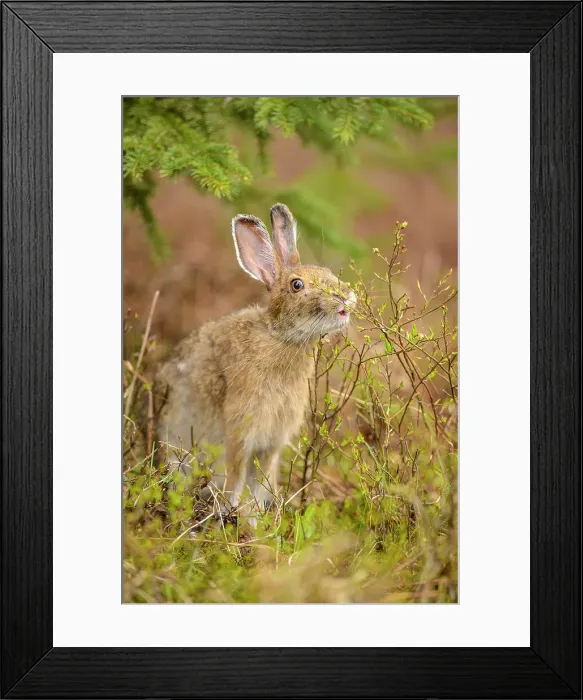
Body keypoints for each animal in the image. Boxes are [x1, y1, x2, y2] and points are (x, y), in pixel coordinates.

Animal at [155, 203, 355, 518]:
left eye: (327, 272)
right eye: (296, 285)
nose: (345, 297)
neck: (282, 337)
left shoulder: (272, 442)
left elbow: (260, 478)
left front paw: (256, 515)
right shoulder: (240, 430)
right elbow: (237, 472)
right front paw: (232, 509)